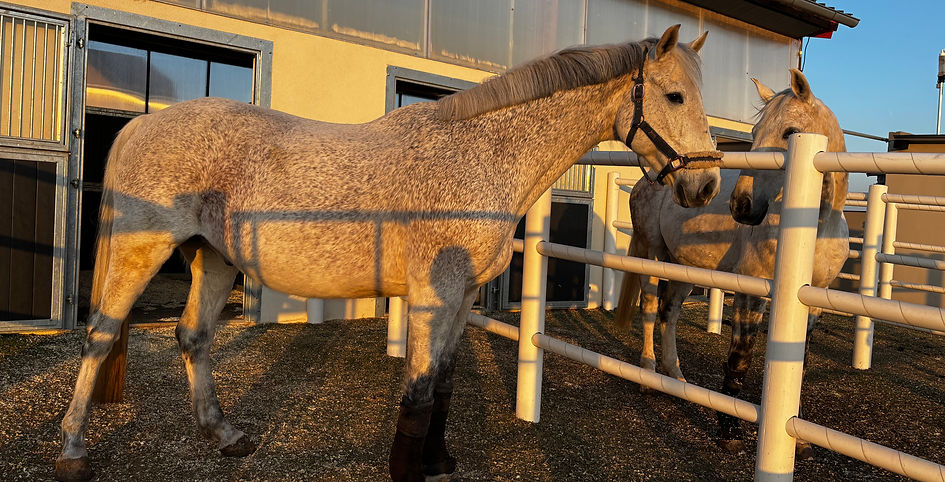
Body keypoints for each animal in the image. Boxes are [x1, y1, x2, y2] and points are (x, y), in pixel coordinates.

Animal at [56, 25, 723, 482]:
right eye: (673, 96)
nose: (706, 185)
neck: (481, 153)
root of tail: (142, 124)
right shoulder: (435, 294)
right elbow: (420, 392)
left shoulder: (462, 298)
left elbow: (444, 384)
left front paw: (438, 461)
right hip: (141, 250)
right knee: (101, 334)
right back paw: (72, 450)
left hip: (213, 257)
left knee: (193, 337)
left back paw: (225, 434)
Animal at [614, 68, 848, 455]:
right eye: (753, 134)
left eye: (790, 132)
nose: (742, 206)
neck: (813, 227)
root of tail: (651, 180)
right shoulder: (751, 292)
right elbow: (741, 356)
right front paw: (729, 430)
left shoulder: (815, 302)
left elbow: (799, 364)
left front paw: (800, 442)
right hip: (650, 254)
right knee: (648, 308)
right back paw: (648, 374)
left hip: (683, 268)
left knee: (668, 313)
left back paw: (676, 376)